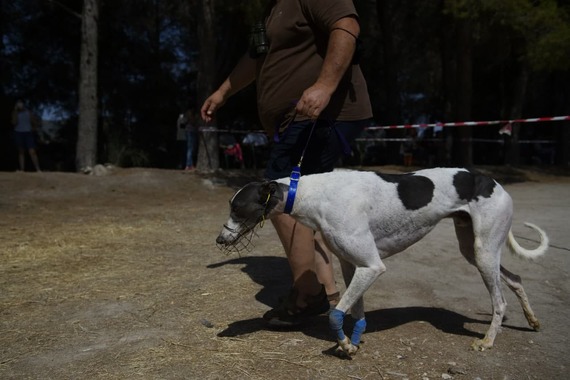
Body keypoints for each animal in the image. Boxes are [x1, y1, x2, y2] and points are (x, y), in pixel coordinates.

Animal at [214, 168, 544, 354]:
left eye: (238, 208)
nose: (220, 239)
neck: (311, 193)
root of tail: (495, 183)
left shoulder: (372, 266)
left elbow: (336, 314)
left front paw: (345, 345)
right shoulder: (353, 266)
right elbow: (356, 313)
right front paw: (353, 342)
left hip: (484, 251)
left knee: (499, 302)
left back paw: (487, 342)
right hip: (474, 250)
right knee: (516, 279)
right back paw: (532, 320)